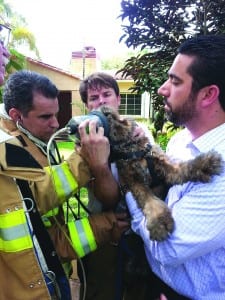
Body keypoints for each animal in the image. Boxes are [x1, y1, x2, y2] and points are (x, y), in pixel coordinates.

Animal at [100, 105, 221, 241]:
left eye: (120, 118)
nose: (104, 109)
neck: (133, 150)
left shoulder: (165, 166)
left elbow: (183, 167)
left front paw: (206, 163)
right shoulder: (134, 182)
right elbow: (149, 200)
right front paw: (159, 222)